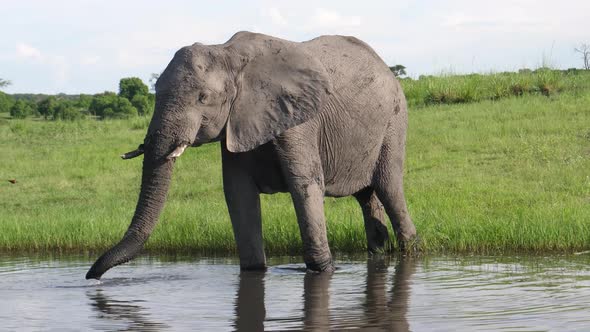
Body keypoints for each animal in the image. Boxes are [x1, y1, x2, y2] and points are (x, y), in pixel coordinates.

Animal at [86, 31, 420, 280]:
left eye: (203, 98)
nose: (91, 276)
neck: (229, 55)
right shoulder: (234, 125)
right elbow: (238, 193)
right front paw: (255, 271)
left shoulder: (299, 120)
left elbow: (305, 185)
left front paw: (324, 270)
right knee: (367, 196)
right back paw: (378, 252)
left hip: (394, 120)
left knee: (389, 187)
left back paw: (411, 251)